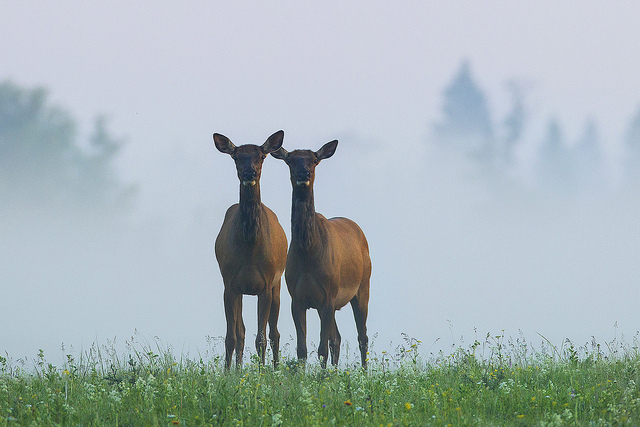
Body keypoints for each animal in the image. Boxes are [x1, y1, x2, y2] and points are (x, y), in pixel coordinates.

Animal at [212, 130, 288, 372]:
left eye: (261, 156)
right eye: (236, 157)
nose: (249, 172)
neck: (249, 247)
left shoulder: (266, 284)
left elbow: (261, 338)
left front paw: (263, 373)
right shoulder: (230, 284)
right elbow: (232, 337)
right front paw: (228, 373)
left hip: (277, 285)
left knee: (275, 333)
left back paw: (275, 368)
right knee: (241, 332)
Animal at [272, 142, 372, 370]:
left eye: (314, 160)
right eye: (290, 160)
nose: (303, 173)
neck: (308, 254)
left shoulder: (328, 295)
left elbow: (322, 349)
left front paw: (322, 377)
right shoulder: (297, 298)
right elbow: (302, 350)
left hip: (363, 286)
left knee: (362, 336)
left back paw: (364, 373)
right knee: (338, 338)